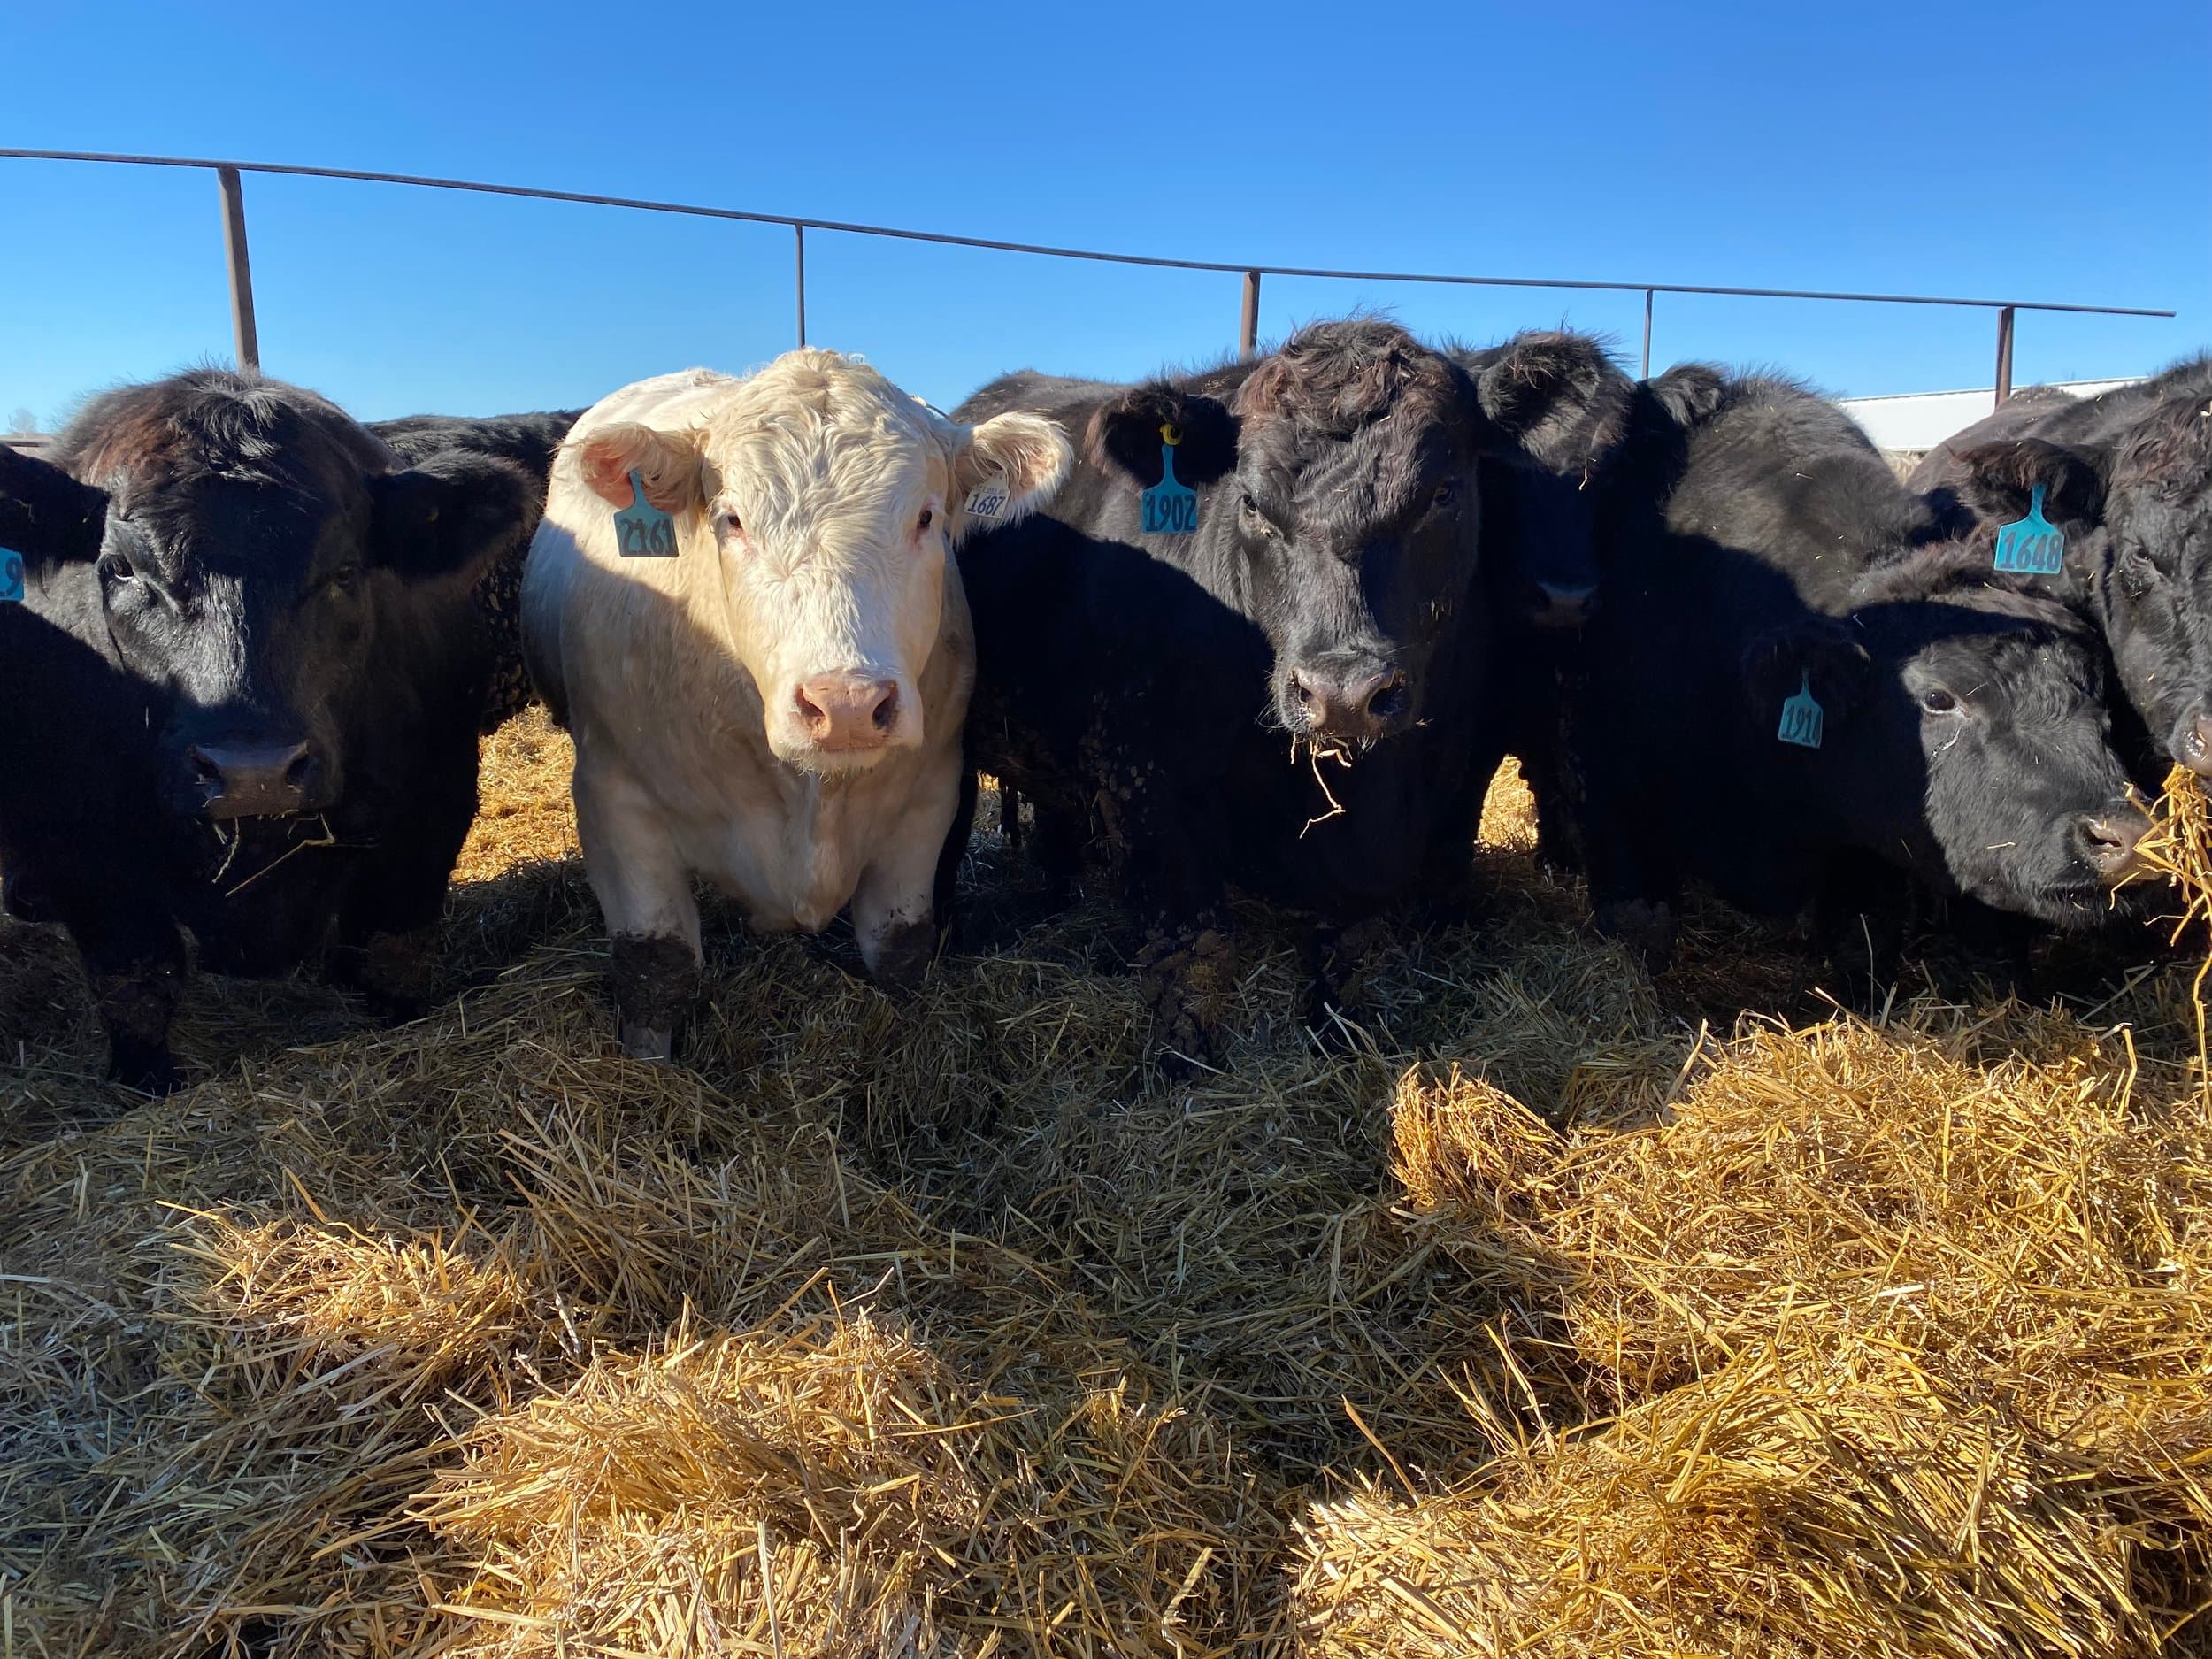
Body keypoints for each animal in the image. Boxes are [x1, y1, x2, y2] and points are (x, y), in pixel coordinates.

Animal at [0, 370, 548, 1091]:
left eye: (345, 570)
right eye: (120, 569)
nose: (251, 772)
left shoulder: (430, 803)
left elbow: (391, 952)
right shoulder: (79, 840)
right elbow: (137, 983)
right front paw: (145, 1084)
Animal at [520, 353, 1070, 1059]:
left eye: (926, 518)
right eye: (731, 520)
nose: (848, 704)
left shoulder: (929, 797)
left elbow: (900, 946)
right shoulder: (614, 801)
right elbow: (656, 969)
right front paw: (648, 1066)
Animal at [948, 319, 1630, 1063]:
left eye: (1443, 494)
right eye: (1251, 502)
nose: (1343, 692)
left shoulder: (1446, 789)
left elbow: (1351, 946)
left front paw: (1338, 1033)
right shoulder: (1144, 783)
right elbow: (1189, 950)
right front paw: (1181, 1059)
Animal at [1562, 368, 2149, 976]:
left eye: (2095, 693)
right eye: (1938, 698)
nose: (2123, 837)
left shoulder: (1865, 855)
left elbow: (1864, 943)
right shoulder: (1607, 776)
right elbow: (1640, 923)